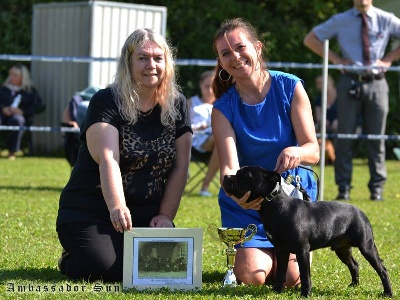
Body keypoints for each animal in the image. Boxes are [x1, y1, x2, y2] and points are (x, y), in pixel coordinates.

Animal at [223, 166, 392, 298]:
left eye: (245, 175)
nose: (226, 176)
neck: (275, 205)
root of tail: (361, 212)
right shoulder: (281, 250)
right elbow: (281, 272)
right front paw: (277, 291)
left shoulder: (301, 250)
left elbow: (305, 275)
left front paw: (305, 294)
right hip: (342, 249)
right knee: (354, 265)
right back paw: (354, 285)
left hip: (366, 246)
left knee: (382, 269)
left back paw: (387, 293)